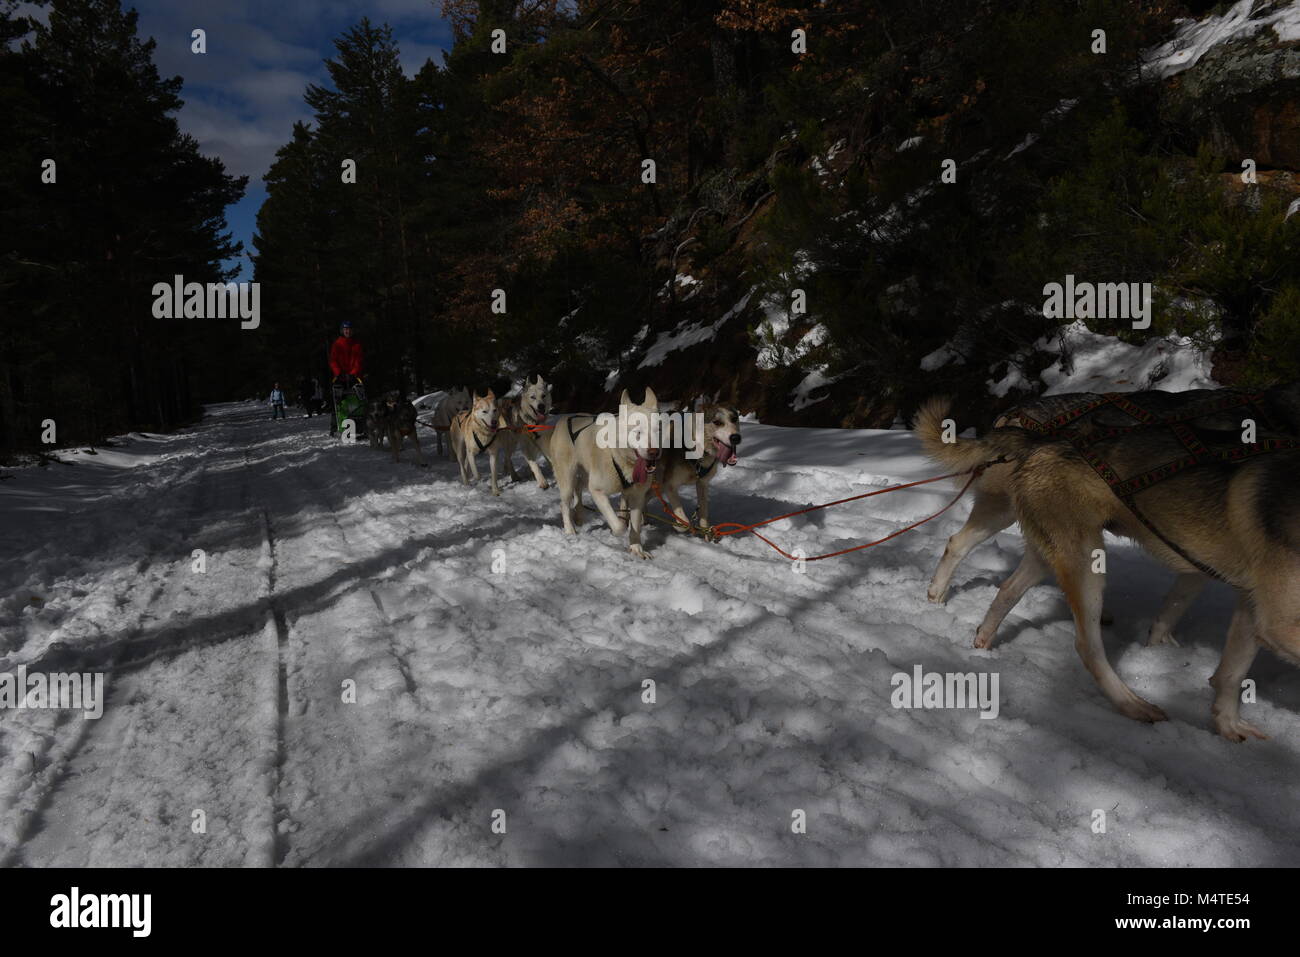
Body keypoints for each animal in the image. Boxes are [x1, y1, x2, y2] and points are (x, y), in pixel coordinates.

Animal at [548, 384, 665, 556]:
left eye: (658, 430)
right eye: (637, 432)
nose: (654, 452)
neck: (621, 459)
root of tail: (565, 418)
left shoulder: (637, 496)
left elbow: (635, 526)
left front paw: (636, 548)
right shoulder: (597, 491)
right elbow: (620, 526)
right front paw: (617, 531)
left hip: (585, 477)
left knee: (578, 491)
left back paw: (579, 515)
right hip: (568, 480)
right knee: (565, 504)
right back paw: (570, 529)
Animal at [915, 390, 1300, 738]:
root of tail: (1039, 436)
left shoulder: (1244, 597)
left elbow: (1228, 669)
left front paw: (1227, 723)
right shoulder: (1276, 620)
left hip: (1045, 545)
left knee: (1003, 584)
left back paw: (979, 635)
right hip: (1081, 559)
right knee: (1086, 645)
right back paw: (1131, 704)